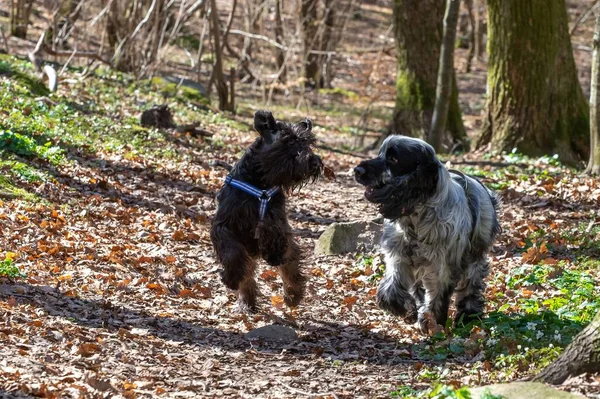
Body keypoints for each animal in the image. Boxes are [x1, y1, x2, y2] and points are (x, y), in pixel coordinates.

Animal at [212, 110, 324, 312]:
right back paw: (246, 302)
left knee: (290, 269)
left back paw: (293, 295)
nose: (313, 162)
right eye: (289, 141)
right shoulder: (224, 225)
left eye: (308, 142)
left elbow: (274, 229)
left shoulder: (277, 219)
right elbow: (232, 251)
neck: (261, 184)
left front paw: (273, 251)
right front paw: (230, 278)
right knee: (247, 275)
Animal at [354, 137, 500, 334]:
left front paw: (431, 322)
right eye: (380, 153)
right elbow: (389, 291)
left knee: (471, 287)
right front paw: (407, 310)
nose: (358, 170)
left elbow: (436, 296)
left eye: (393, 159)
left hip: (474, 257)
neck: (415, 221)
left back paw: (468, 316)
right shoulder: (398, 256)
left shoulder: (442, 267)